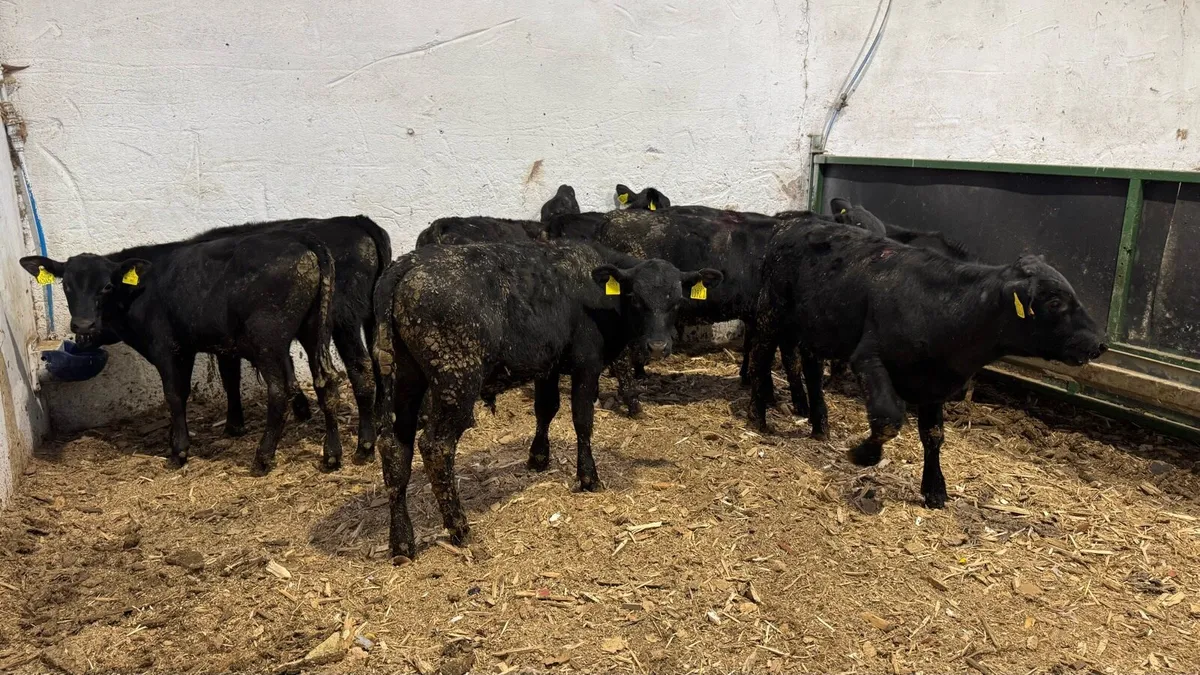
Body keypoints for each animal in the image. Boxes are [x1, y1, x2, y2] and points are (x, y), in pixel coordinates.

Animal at [21, 230, 343, 474]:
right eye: (67, 286)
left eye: (107, 286)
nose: (83, 325)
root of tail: (301, 241)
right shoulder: (201, 348)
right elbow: (220, 384)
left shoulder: (168, 348)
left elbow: (175, 395)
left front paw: (179, 451)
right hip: (312, 330)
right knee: (326, 381)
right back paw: (332, 454)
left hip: (268, 339)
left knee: (279, 390)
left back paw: (263, 458)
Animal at [370, 240, 721, 559]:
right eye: (635, 298)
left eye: (677, 300)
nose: (658, 347)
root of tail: (409, 263)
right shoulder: (586, 364)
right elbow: (582, 420)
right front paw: (588, 477)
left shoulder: (547, 365)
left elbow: (546, 409)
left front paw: (538, 457)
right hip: (455, 381)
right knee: (436, 447)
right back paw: (460, 529)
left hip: (405, 380)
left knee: (394, 446)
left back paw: (402, 542)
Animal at [746, 218, 1107, 508]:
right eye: (1055, 302)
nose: (1099, 343)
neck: (946, 307)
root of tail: (792, 224)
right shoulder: (868, 358)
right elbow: (888, 417)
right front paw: (864, 454)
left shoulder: (935, 382)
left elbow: (934, 435)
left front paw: (935, 489)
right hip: (770, 312)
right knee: (762, 357)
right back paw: (757, 416)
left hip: (816, 327)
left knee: (810, 368)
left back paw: (820, 424)